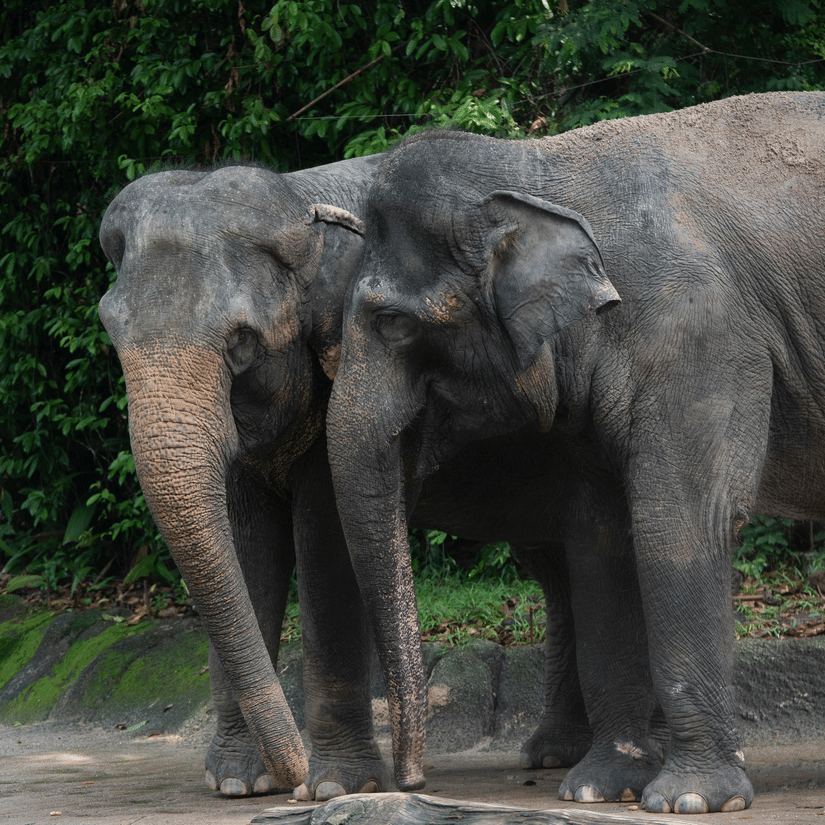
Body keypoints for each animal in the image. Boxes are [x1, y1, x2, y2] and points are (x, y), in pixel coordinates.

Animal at [97, 159, 597, 800]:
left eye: (241, 342)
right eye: (112, 335)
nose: (292, 774)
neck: (302, 198)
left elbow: (327, 541)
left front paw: (335, 787)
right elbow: (247, 542)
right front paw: (237, 783)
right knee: (556, 567)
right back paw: (554, 754)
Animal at [326, 91, 825, 814]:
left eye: (393, 323)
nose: (414, 780)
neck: (540, 168)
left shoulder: (700, 335)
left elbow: (677, 521)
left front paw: (689, 801)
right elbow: (600, 541)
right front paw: (599, 789)